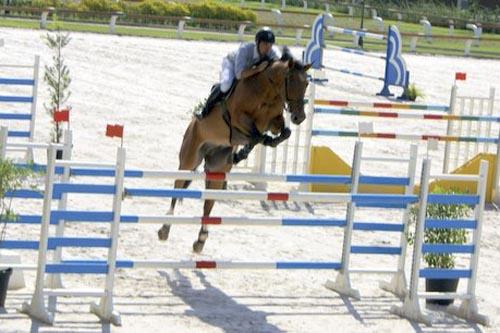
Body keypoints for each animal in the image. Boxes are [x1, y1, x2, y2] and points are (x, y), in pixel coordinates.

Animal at [158, 47, 310, 252]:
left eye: (307, 83)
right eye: (292, 81)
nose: (299, 117)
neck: (268, 91)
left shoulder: (271, 121)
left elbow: (282, 133)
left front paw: (253, 147)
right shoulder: (238, 119)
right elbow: (256, 135)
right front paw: (248, 148)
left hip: (217, 169)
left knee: (208, 203)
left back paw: (201, 239)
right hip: (188, 159)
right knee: (178, 188)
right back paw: (165, 228)